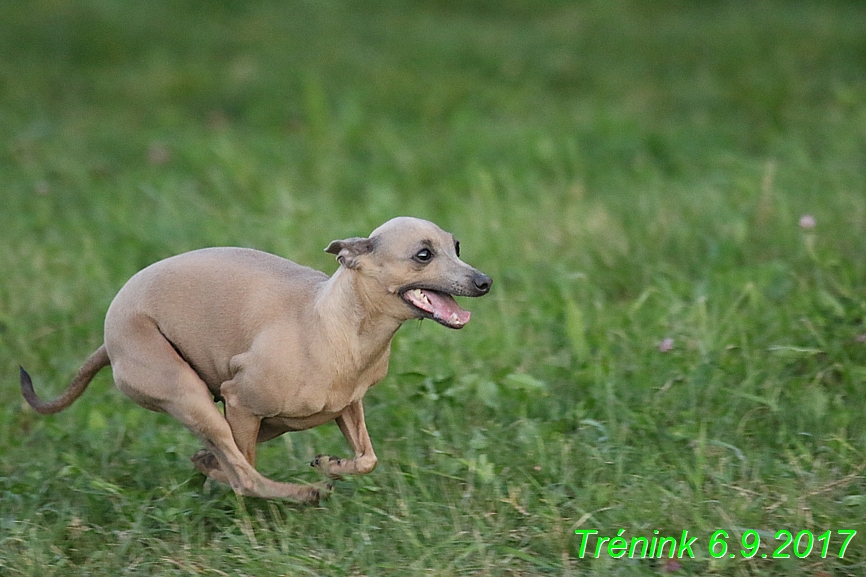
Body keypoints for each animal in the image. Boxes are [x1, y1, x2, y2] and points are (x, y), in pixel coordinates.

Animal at [20, 216, 490, 500]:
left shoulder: (347, 406)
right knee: (244, 477)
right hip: (190, 394)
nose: (484, 281)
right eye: (423, 254)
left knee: (228, 459)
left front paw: (332, 464)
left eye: (457, 246)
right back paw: (297, 493)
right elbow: (244, 468)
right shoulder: (240, 400)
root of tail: (108, 339)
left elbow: (367, 459)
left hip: (260, 419)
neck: (336, 325)